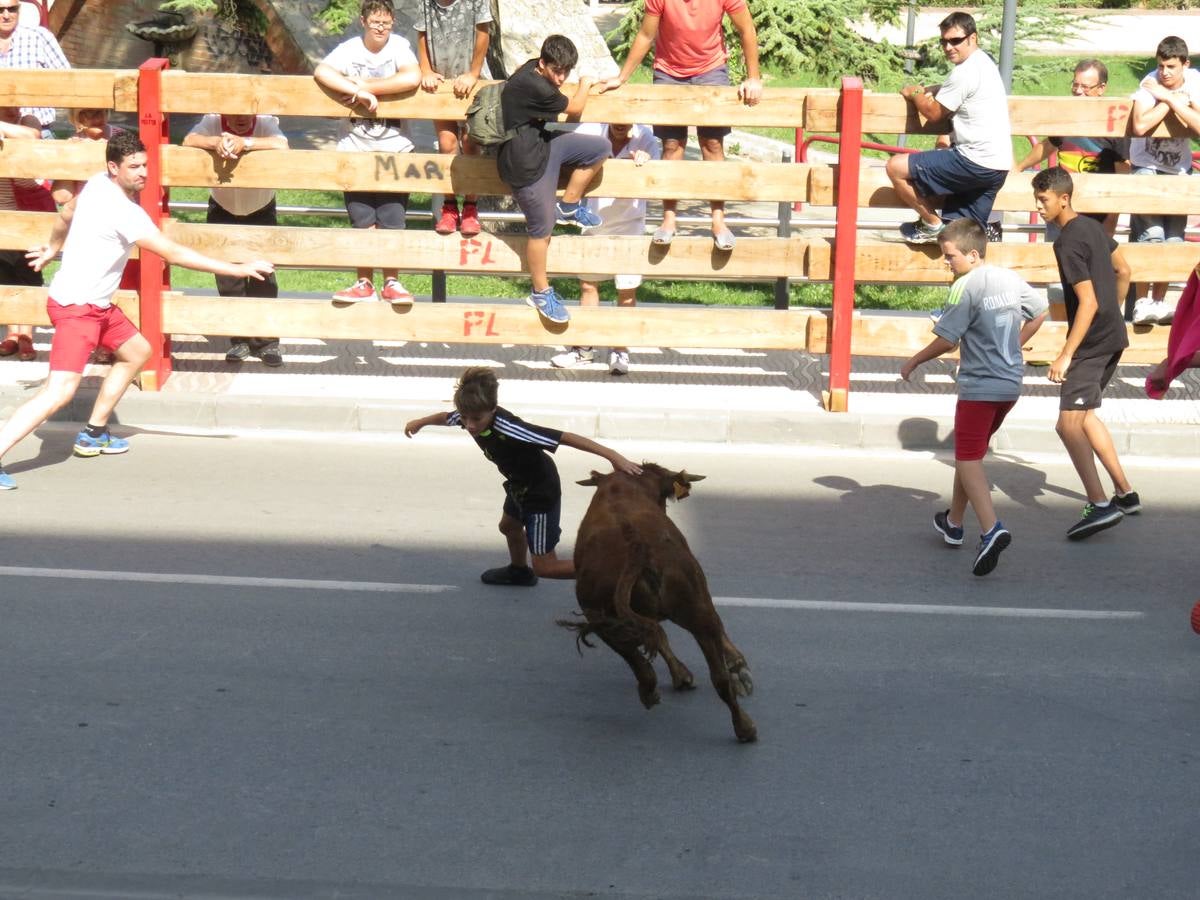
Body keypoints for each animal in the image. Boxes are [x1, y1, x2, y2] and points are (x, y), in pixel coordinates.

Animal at [556, 465, 753, 748]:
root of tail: (637, 552)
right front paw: (736, 668)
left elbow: (657, 640)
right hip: (693, 605)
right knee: (718, 671)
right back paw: (744, 724)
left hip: (601, 618)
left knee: (643, 659)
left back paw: (652, 692)